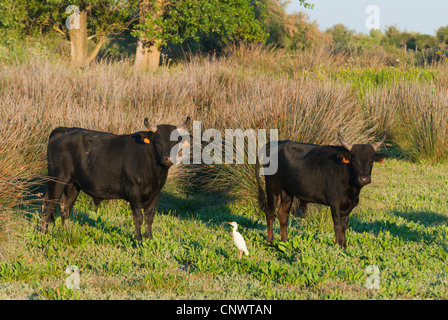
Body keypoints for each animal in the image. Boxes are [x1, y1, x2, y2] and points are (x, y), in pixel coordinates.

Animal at [40, 117, 189, 240]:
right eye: (158, 141)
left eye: (177, 142)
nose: (168, 159)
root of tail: (64, 129)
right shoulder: (134, 192)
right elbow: (138, 217)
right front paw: (139, 239)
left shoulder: (156, 193)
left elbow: (149, 217)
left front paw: (149, 238)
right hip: (57, 178)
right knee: (48, 204)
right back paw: (44, 234)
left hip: (73, 184)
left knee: (65, 206)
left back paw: (65, 232)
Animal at [256, 129, 388, 249]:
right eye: (354, 161)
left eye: (371, 162)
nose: (364, 179)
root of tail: (274, 143)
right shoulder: (334, 202)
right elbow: (338, 225)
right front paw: (338, 246)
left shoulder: (349, 205)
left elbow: (344, 226)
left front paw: (343, 245)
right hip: (272, 187)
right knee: (270, 213)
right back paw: (270, 241)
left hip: (287, 191)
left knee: (283, 214)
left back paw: (285, 241)